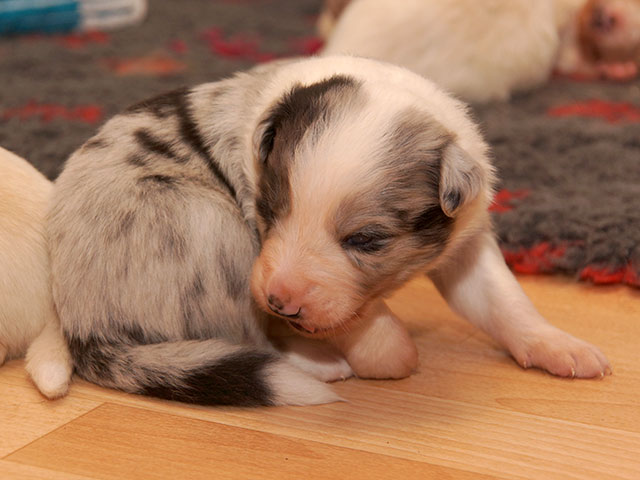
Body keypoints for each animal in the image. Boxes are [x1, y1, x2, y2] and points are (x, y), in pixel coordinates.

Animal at [47, 56, 611, 407]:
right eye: (268, 210)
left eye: (366, 241)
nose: (280, 301)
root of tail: (82, 327)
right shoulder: (260, 251)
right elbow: (350, 318)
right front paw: (389, 351)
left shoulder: (465, 240)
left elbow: (501, 299)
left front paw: (560, 347)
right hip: (208, 228)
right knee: (245, 335)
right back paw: (316, 365)